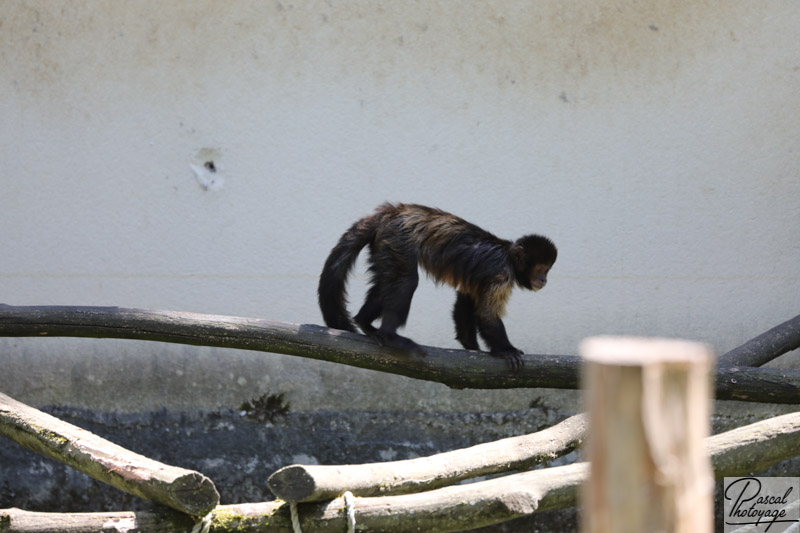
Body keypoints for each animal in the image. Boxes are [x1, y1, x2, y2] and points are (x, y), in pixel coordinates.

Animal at [318, 202, 556, 368]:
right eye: (541, 269)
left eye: (547, 270)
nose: (544, 279)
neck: (508, 256)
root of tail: (391, 212)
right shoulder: (501, 274)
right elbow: (487, 313)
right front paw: (506, 350)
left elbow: (467, 299)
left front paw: (471, 347)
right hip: (398, 238)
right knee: (406, 281)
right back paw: (391, 336)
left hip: (383, 243)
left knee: (386, 282)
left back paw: (364, 322)